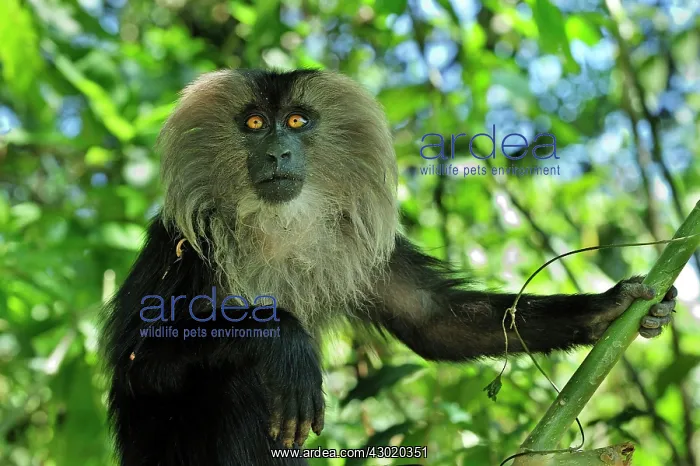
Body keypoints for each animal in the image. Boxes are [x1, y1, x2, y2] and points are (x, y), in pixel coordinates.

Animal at [100, 68, 679, 466]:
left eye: (295, 121)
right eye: (255, 123)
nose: (277, 153)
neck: (278, 225)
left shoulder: (365, 249)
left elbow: (434, 321)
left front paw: (611, 309)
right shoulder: (184, 247)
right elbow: (141, 364)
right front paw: (285, 339)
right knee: (236, 378)